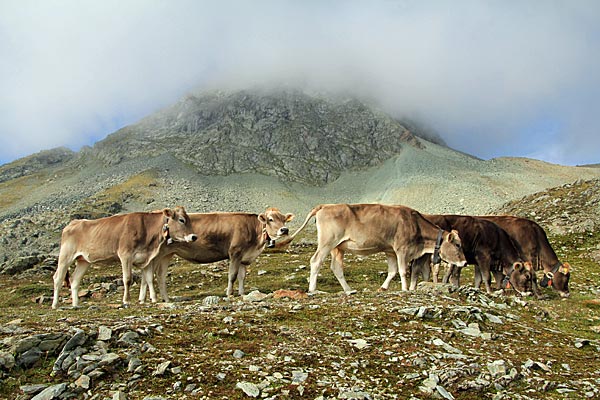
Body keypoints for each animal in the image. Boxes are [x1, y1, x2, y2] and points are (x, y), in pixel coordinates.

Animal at [51, 206, 197, 310]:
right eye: (181, 220)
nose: (194, 236)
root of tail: (73, 223)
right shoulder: (125, 255)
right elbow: (127, 279)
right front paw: (126, 300)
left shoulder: (146, 258)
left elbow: (149, 278)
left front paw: (154, 298)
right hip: (66, 256)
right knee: (58, 278)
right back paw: (55, 304)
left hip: (83, 260)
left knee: (75, 280)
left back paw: (75, 304)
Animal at [138, 206, 292, 304]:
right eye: (270, 219)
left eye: (284, 219)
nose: (284, 230)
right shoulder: (235, 252)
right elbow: (232, 275)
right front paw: (229, 293)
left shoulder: (245, 257)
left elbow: (242, 276)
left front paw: (242, 293)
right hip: (156, 254)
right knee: (148, 274)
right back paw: (151, 298)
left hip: (166, 254)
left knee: (155, 275)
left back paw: (151, 299)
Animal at [276, 203, 468, 294]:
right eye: (458, 244)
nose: (465, 262)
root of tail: (324, 206)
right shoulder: (401, 249)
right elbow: (402, 271)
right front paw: (405, 289)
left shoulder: (390, 251)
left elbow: (392, 271)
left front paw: (383, 288)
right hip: (327, 242)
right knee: (316, 261)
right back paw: (312, 289)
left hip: (338, 248)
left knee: (336, 267)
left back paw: (348, 290)